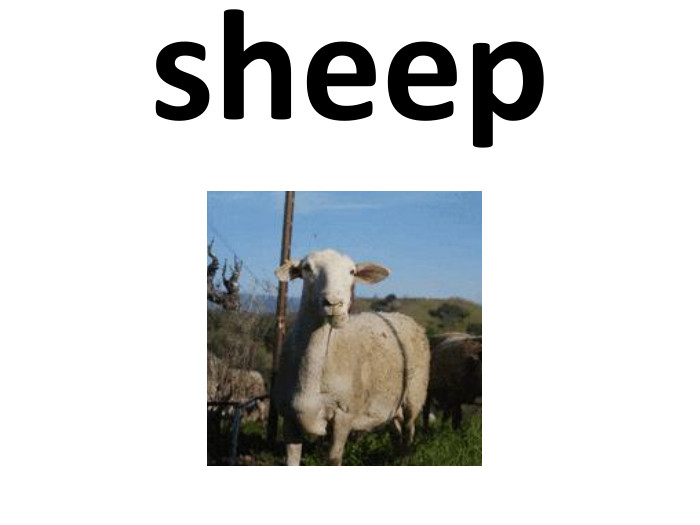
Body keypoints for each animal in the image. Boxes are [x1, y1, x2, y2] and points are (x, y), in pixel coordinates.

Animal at [273, 249, 430, 466]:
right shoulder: (289, 418)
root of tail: (403, 316)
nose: (335, 304)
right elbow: (291, 461)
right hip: (391, 404)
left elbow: (334, 459)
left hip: (415, 396)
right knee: (396, 431)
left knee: (408, 431)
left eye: (352, 271)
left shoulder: (343, 416)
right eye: (307, 268)